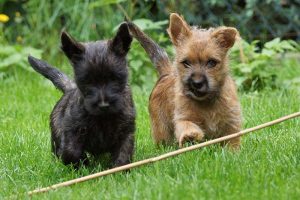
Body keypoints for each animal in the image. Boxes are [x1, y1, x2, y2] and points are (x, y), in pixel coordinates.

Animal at [28, 23, 136, 167]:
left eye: (115, 78)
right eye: (87, 81)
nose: (103, 105)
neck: (103, 117)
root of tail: (69, 89)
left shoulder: (126, 131)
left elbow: (123, 152)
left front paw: (120, 168)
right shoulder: (72, 130)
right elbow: (70, 151)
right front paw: (83, 164)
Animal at [127, 13, 243, 148]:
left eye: (211, 62)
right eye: (186, 62)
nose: (196, 83)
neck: (206, 102)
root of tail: (167, 73)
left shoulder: (232, 120)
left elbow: (232, 140)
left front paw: (233, 151)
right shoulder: (182, 117)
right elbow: (187, 125)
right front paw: (190, 135)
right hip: (161, 128)